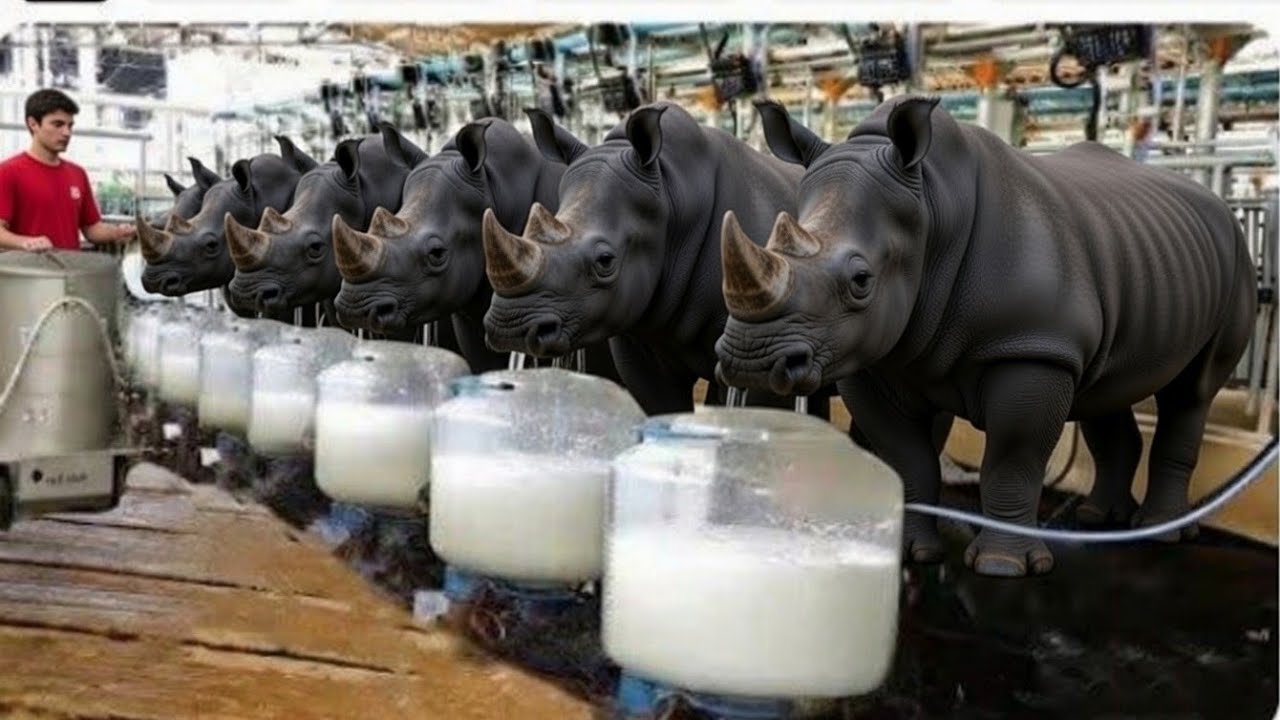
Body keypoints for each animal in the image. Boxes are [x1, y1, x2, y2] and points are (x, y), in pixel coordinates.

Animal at [482, 102, 823, 415]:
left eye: (605, 261)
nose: (511, 326)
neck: (673, 199)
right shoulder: (639, 332)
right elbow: (660, 404)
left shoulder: (767, 339)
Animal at [714, 96, 1257, 577]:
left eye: (861, 280)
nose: (750, 359)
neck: (932, 208)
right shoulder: (879, 355)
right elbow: (907, 457)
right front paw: (910, 555)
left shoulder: (1032, 348)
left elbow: (1012, 458)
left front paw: (1004, 566)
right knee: (1109, 389)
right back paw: (1097, 520)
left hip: (1234, 258)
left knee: (1192, 391)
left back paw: (1162, 533)